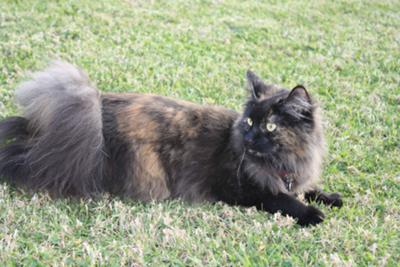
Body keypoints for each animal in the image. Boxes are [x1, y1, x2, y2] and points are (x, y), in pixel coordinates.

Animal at [0, 62, 340, 226]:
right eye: (249, 123)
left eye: (269, 126)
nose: (247, 138)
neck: (283, 161)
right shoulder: (242, 189)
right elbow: (283, 200)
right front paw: (311, 214)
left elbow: (307, 188)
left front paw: (330, 197)